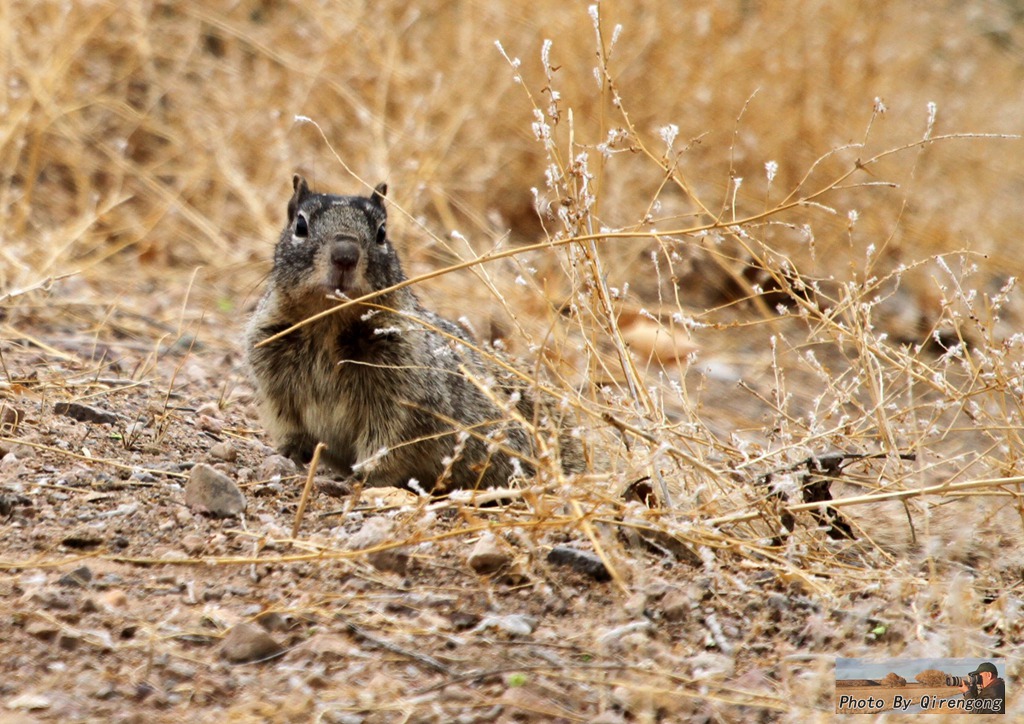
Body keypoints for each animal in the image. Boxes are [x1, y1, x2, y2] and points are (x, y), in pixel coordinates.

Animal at [245, 177, 585, 493]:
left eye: (382, 232)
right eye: (300, 225)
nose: (345, 255)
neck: (329, 322)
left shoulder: (404, 392)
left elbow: (389, 442)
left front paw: (361, 478)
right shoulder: (272, 373)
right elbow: (288, 423)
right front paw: (288, 453)